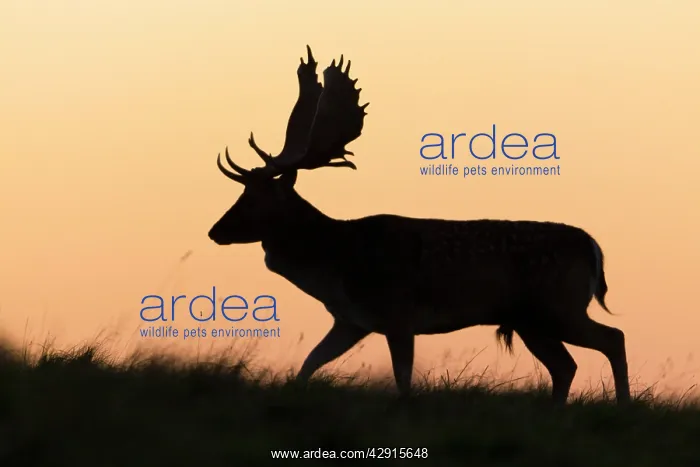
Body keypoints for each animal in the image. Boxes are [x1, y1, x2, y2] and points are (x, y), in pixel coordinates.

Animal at [207, 45, 631, 405]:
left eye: (254, 199)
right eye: (242, 193)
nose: (215, 231)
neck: (336, 263)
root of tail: (593, 248)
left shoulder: (398, 313)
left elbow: (403, 380)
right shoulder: (351, 320)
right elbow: (310, 363)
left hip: (558, 305)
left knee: (613, 337)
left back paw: (623, 405)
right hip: (531, 320)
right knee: (566, 366)